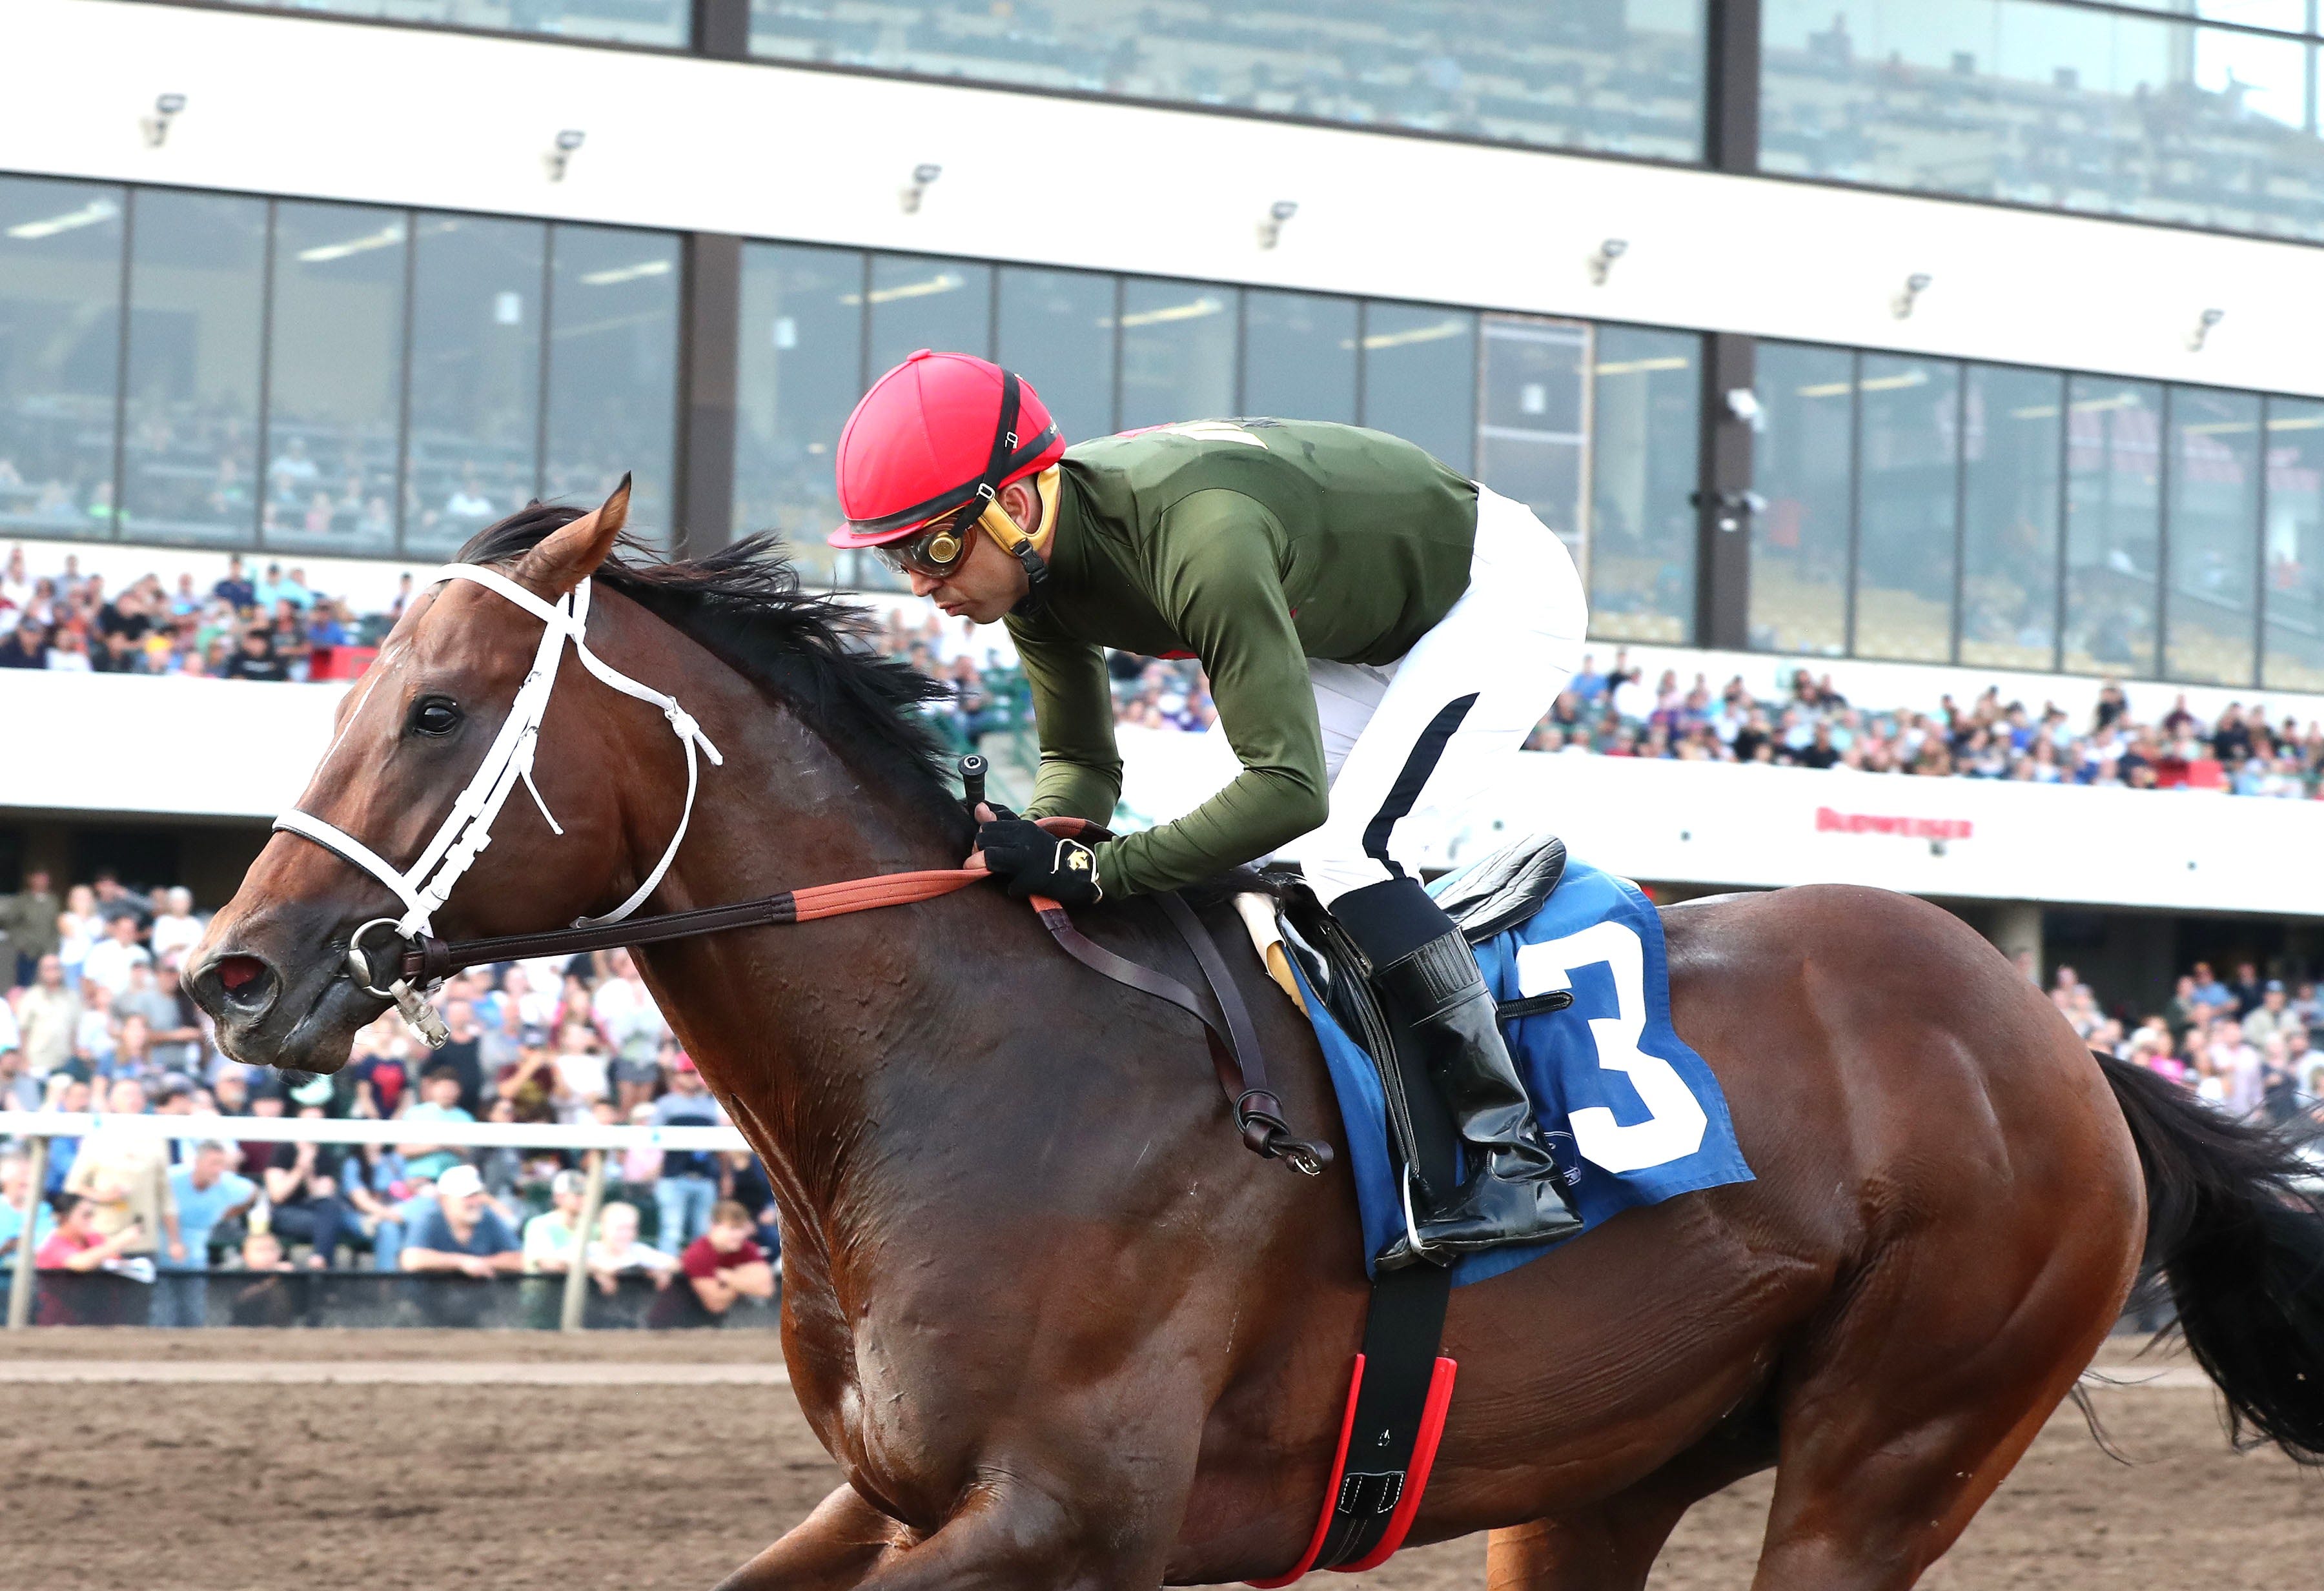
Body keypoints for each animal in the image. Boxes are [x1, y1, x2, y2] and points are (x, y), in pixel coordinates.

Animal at [186, 487, 2324, 1588]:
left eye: (441, 709)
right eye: (357, 683)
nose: (229, 976)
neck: (952, 1069)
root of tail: (2063, 1045)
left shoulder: (1075, 1518)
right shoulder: (890, 1494)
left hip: (1894, 1445)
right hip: (1604, 1468)